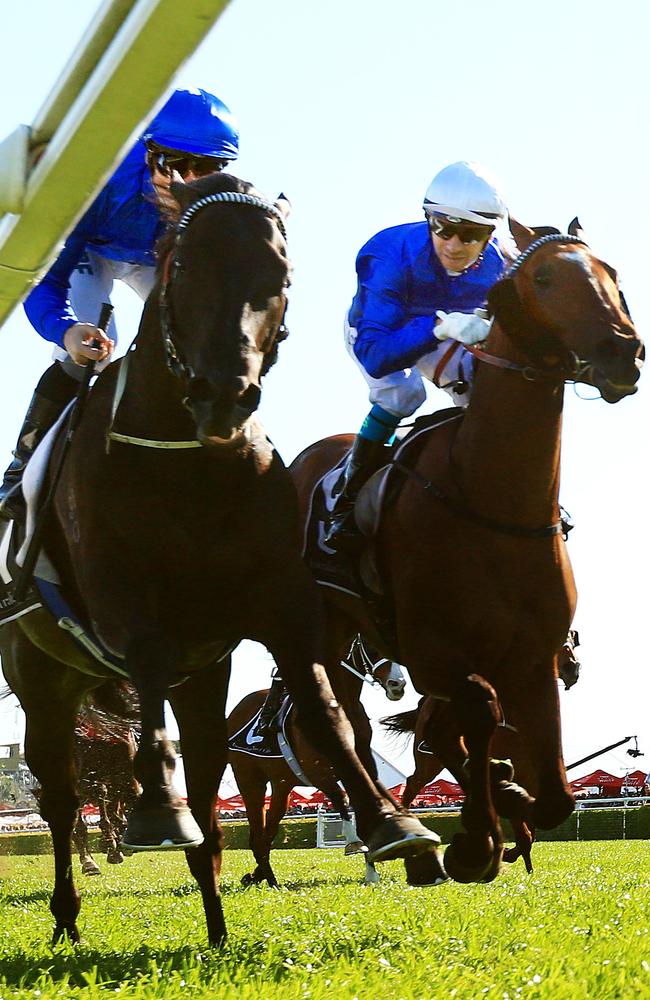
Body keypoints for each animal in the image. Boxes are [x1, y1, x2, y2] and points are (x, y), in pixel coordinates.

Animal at [1, 172, 436, 944]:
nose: (224, 394)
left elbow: (323, 709)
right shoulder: (124, 606)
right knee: (59, 801)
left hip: (201, 684)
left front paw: (391, 823)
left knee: (206, 801)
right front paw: (154, 808)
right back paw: (69, 917)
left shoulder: (275, 604)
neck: (188, 462)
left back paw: (215, 926)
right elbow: (146, 670)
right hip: (41, 684)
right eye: (182, 268)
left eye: (280, 275)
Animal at [290, 219, 644, 884]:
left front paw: (506, 800)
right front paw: (476, 841)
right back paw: (395, 831)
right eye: (544, 276)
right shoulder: (432, 649)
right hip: (326, 629)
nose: (622, 349)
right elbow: (477, 708)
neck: (492, 501)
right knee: (338, 720)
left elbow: (554, 792)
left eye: (610, 272)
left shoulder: (535, 656)